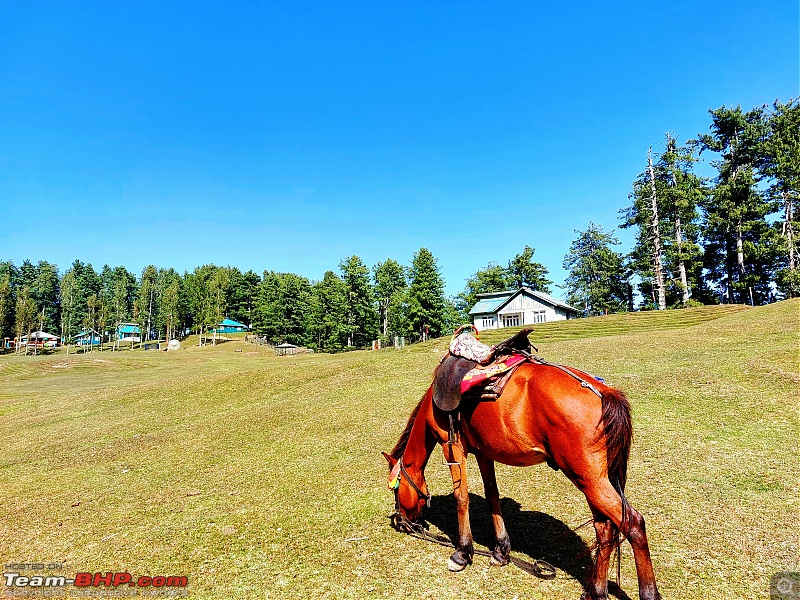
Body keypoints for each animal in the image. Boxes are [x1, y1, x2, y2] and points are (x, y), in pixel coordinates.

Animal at [384, 358, 660, 596]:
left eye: (395, 489)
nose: (402, 522)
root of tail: (603, 392)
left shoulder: (452, 448)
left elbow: (461, 498)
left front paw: (462, 553)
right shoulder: (484, 452)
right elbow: (492, 496)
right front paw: (501, 551)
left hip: (589, 479)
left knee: (633, 523)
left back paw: (646, 592)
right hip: (594, 480)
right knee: (605, 529)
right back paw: (597, 592)